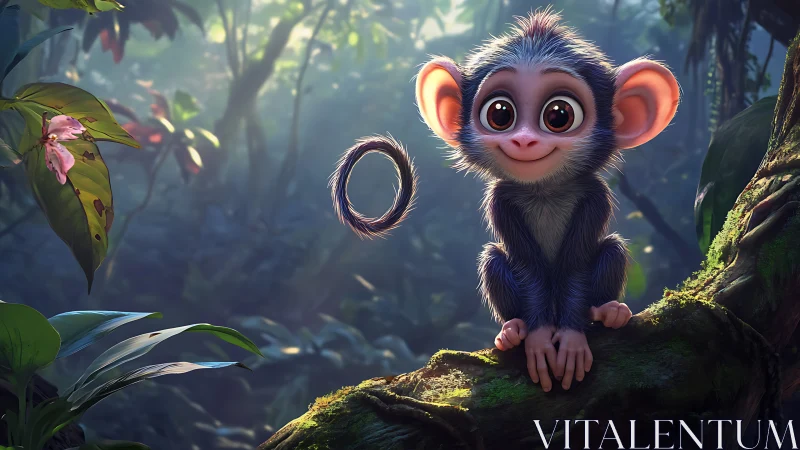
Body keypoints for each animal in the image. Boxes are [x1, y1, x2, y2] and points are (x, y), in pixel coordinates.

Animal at [330, 9, 680, 392]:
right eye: (500, 113)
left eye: (559, 115)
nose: (524, 140)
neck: (544, 190)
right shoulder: (499, 199)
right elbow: (527, 266)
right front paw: (538, 337)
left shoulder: (596, 194)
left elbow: (574, 264)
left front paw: (572, 337)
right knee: (494, 258)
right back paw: (514, 329)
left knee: (612, 248)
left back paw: (607, 311)